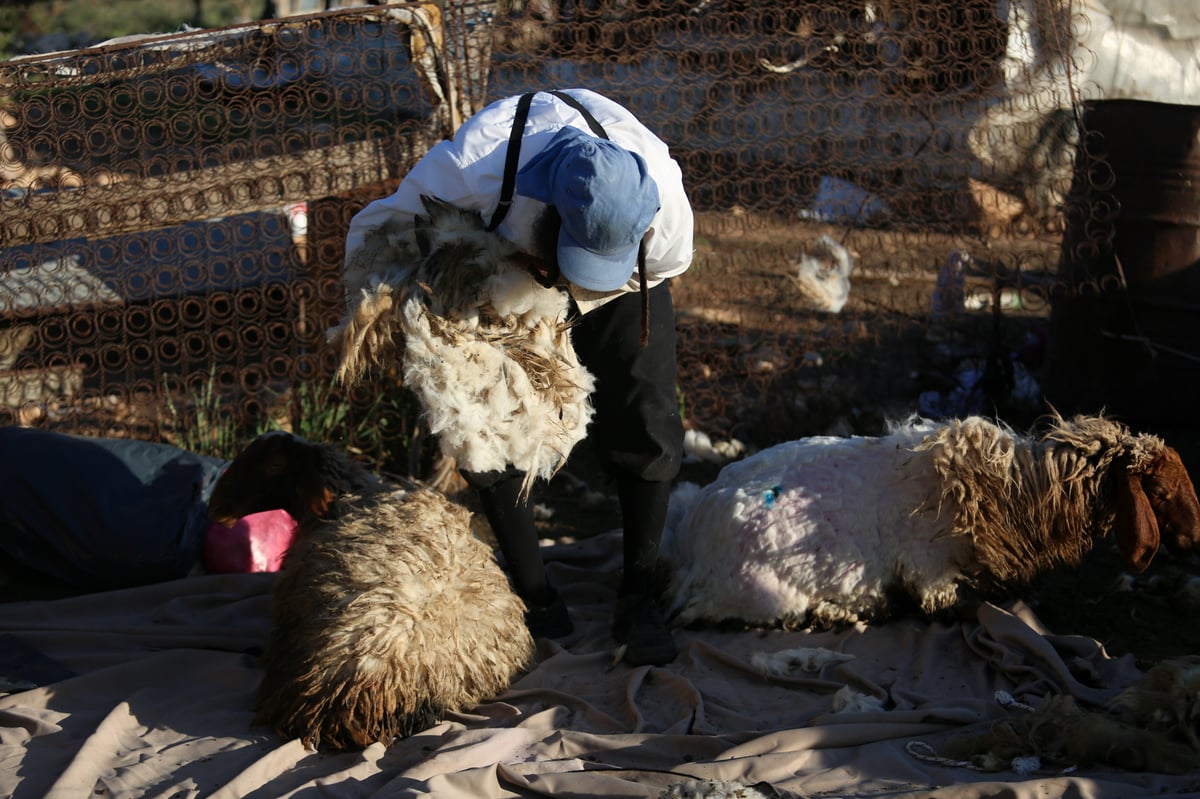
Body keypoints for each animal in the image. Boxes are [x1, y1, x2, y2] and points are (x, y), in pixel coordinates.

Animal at [662, 410, 1200, 628]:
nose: (1194, 539)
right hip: (764, 595)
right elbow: (955, 604)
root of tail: (688, 532)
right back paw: (841, 613)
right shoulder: (933, 578)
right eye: (1160, 490)